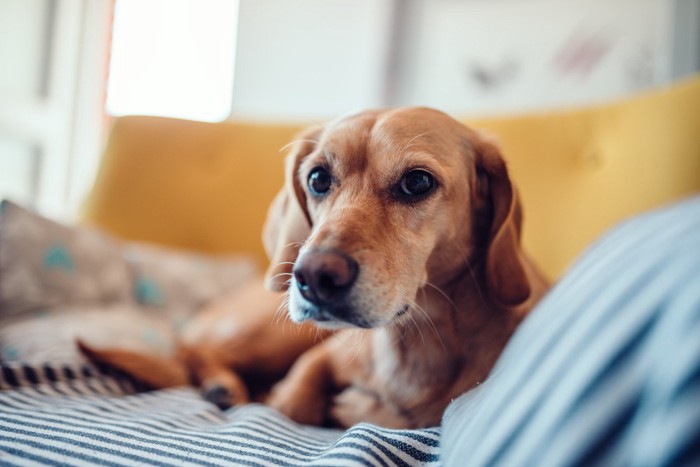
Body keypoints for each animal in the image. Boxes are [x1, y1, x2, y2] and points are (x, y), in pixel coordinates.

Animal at [78, 108, 548, 430]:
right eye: (318, 178)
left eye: (417, 182)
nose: (313, 278)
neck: (410, 343)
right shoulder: (319, 355)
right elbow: (293, 403)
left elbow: (414, 417)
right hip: (280, 331)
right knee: (192, 351)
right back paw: (224, 384)